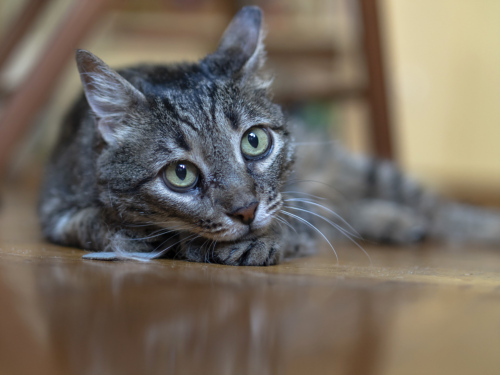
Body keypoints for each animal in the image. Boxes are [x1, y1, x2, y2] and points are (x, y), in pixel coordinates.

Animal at [38, 5, 500, 264]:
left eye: (254, 141)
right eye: (180, 174)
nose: (245, 210)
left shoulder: (296, 201)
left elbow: (293, 220)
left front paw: (262, 240)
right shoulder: (54, 210)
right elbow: (97, 226)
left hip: (367, 171)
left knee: (441, 209)